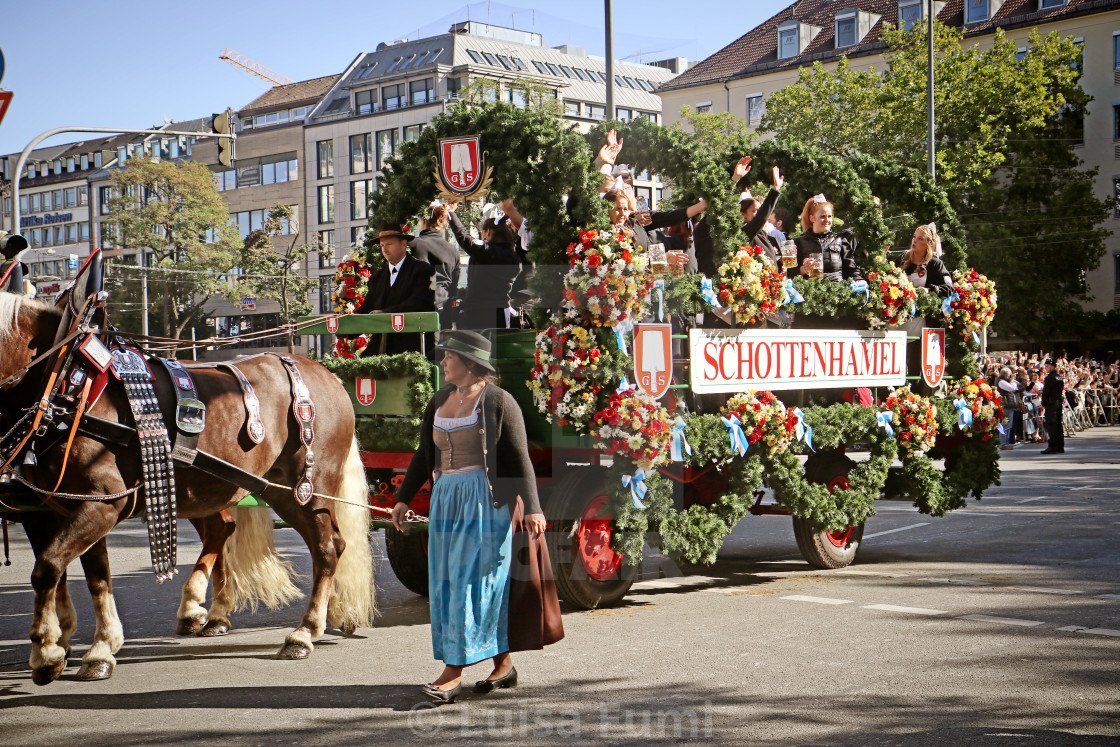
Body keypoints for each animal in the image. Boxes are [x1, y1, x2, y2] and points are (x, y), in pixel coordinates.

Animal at [0, 291, 376, 685]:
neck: (65, 383)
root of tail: (327, 375)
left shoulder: (98, 505)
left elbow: (47, 567)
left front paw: (47, 650)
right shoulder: (77, 507)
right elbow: (94, 576)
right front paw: (99, 647)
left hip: (306, 490)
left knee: (326, 548)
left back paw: (304, 632)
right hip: (258, 489)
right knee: (309, 541)